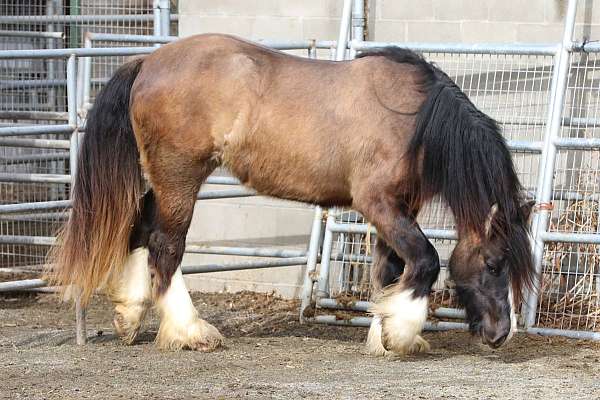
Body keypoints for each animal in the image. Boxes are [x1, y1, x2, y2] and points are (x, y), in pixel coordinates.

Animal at [47, 32, 536, 354]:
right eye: (494, 263)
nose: (500, 335)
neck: (416, 121)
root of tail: (147, 62)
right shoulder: (378, 205)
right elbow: (427, 260)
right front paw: (399, 334)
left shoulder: (396, 209)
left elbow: (391, 271)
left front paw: (384, 333)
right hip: (180, 178)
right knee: (166, 247)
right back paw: (191, 332)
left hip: (161, 181)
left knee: (140, 232)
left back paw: (129, 317)